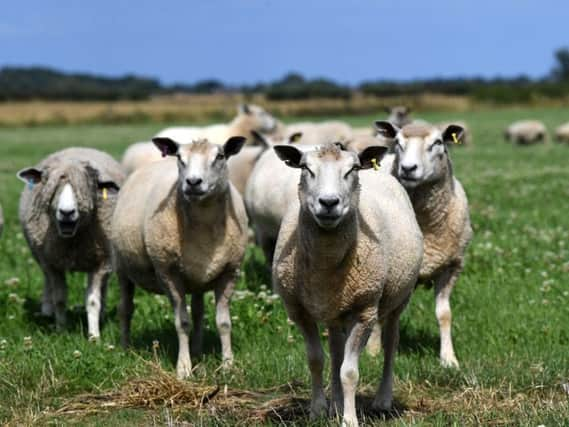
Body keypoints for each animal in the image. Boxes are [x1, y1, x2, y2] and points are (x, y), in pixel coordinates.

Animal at [16, 149, 124, 340]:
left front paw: (94, 336)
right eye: (49, 185)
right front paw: (61, 330)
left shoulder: (101, 263)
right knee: (47, 282)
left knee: (103, 289)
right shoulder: (52, 263)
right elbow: (59, 298)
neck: (72, 243)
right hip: (42, 258)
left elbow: (93, 301)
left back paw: (102, 315)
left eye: (89, 186)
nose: (67, 212)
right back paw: (47, 311)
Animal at [113, 135, 248, 380]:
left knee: (198, 312)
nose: (193, 182)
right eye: (179, 157)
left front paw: (228, 366)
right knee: (125, 308)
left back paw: (197, 349)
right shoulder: (168, 273)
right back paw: (125, 347)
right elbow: (182, 323)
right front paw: (184, 369)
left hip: (196, 278)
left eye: (220, 156)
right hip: (121, 267)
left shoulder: (230, 271)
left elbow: (223, 323)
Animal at [272, 142, 424, 426]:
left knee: (391, 343)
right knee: (335, 350)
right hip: (336, 311)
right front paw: (318, 410)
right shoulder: (299, 311)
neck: (324, 268)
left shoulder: (364, 311)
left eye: (352, 169)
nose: (329, 203)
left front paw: (349, 419)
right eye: (306, 168)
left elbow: (349, 371)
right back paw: (336, 404)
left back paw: (382, 400)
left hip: (398, 298)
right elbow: (316, 360)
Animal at [372, 120, 474, 368]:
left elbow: (444, 314)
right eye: (397, 142)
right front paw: (373, 353)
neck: (426, 226)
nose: (408, 168)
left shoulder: (450, 267)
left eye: (437, 142)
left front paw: (448, 359)